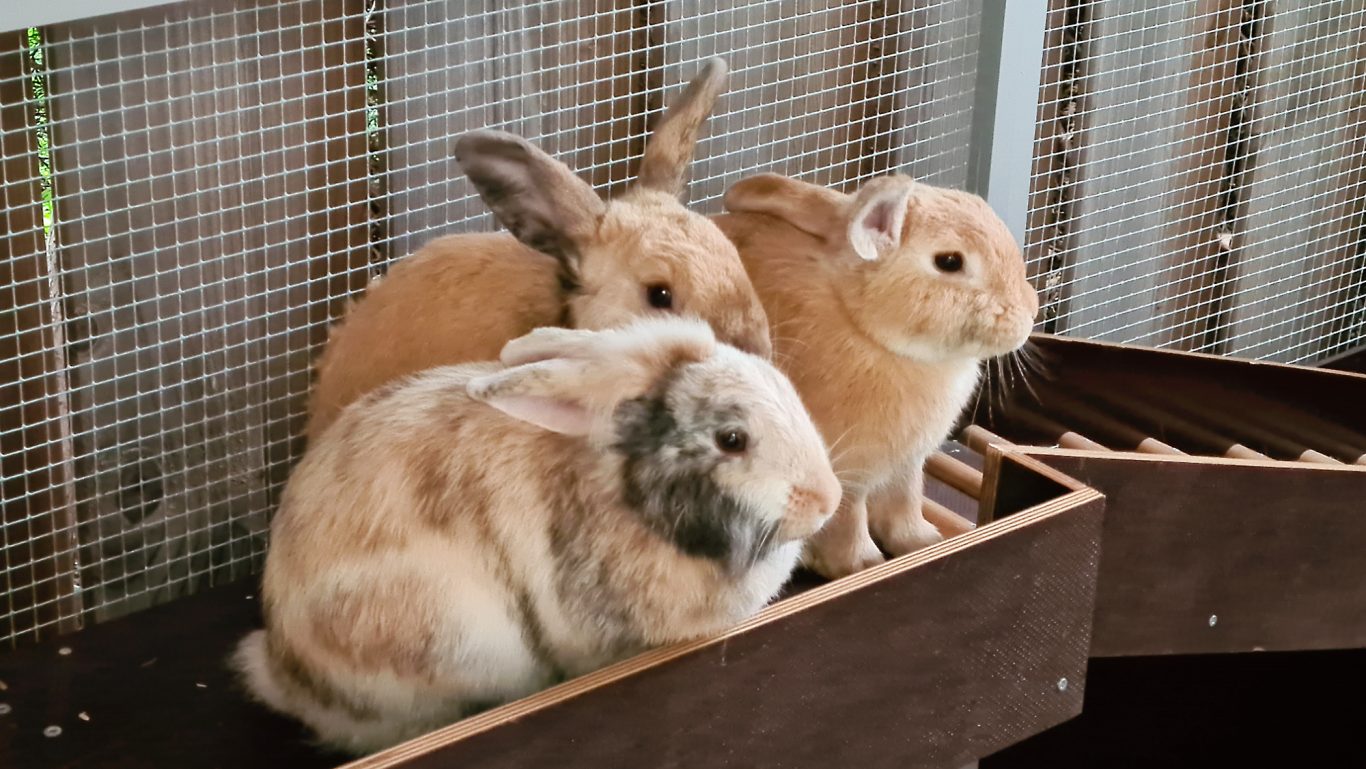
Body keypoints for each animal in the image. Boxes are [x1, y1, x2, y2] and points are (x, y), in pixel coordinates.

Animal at [713, 172, 1039, 579]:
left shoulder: (906, 466)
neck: (862, 325)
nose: (1031, 311)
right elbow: (848, 520)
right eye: (949, 261)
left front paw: (923, 542)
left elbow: (905, 503)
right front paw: (862, 565)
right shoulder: (843, 475)